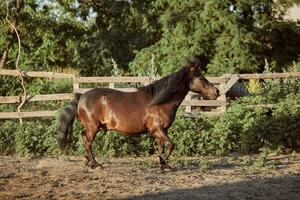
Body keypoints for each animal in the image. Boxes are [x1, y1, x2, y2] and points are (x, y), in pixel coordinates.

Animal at [57, 57, 219, 170]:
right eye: (200, 78)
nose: (216, 92)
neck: (159, 103)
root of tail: (81, 97)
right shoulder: (157, 130)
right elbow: (171, 145)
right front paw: (164, 161)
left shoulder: (161, 130)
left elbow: (162, 147)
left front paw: (164, 165)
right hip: (93, 127)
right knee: (87, 141)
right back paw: (95, 164)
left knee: (85, 141)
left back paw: (88, 162)